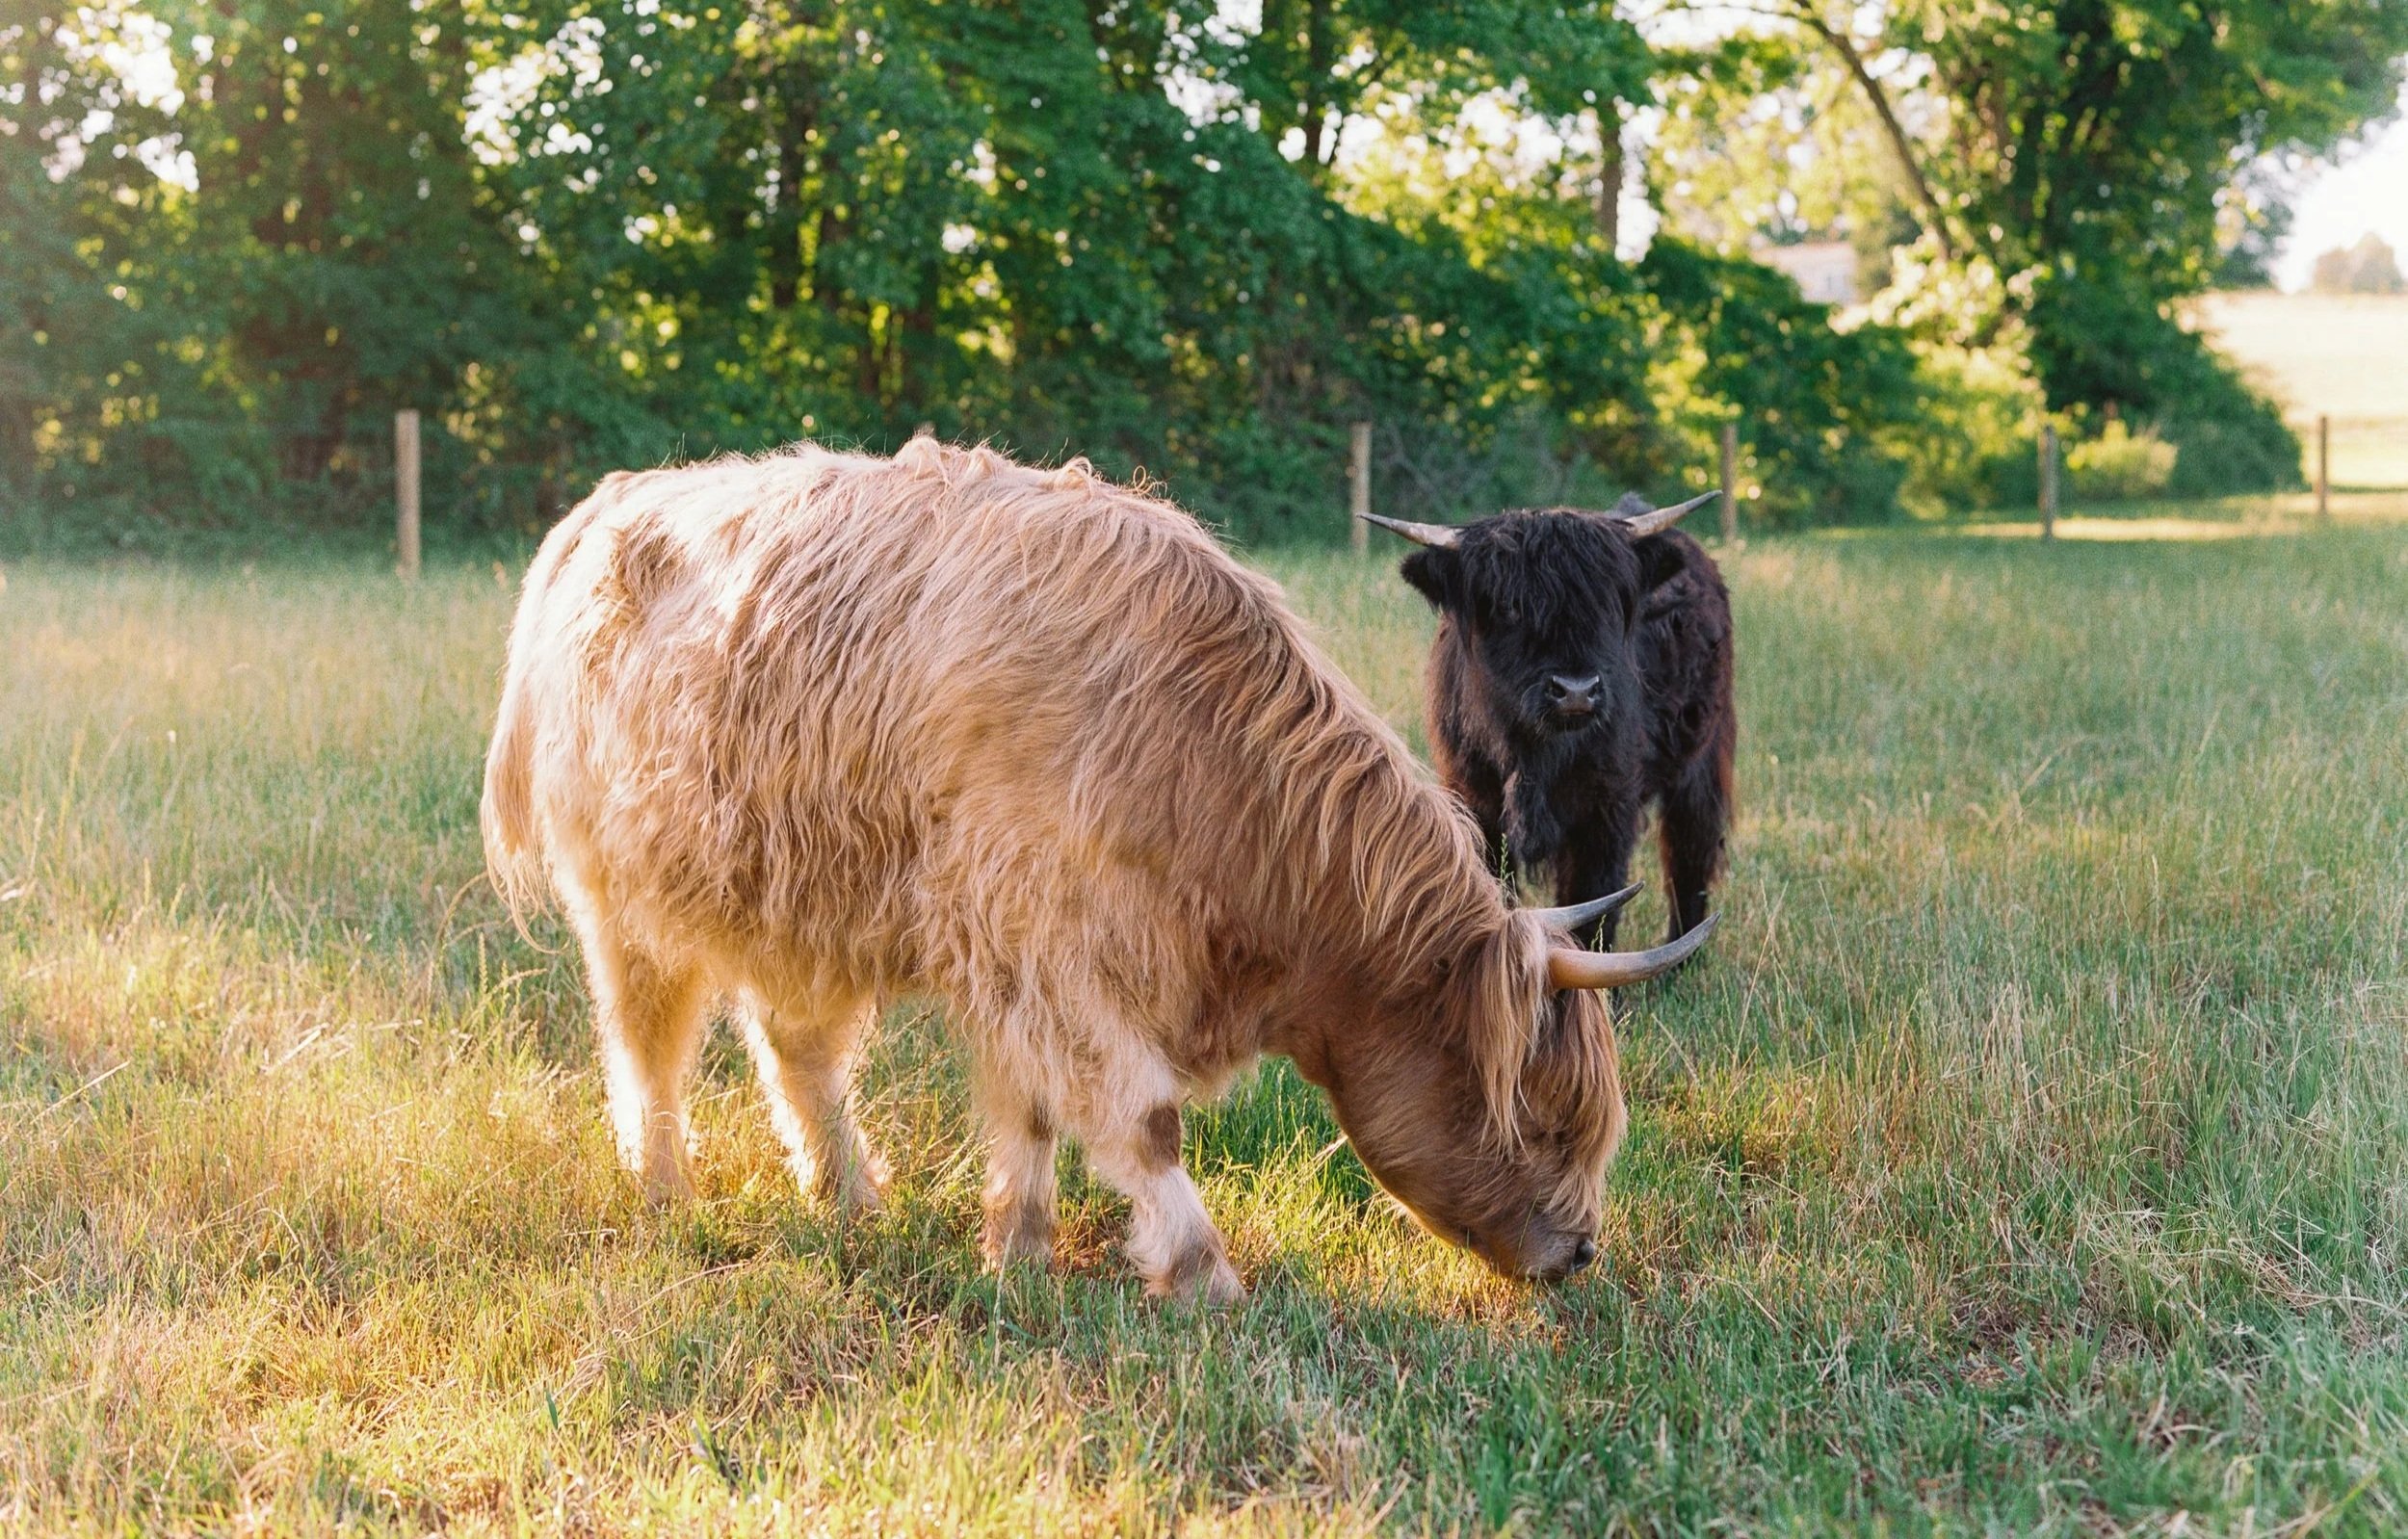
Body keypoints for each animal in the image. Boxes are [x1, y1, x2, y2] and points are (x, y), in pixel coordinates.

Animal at [1362, 492, 1735, 951]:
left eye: (1608, 601)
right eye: (1508, 605)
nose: (1576, 690)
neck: (1531, 753)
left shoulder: (1607, 809)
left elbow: (1594, 903)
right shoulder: (1473, 799)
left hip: (1700, 760)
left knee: (1690, 851)